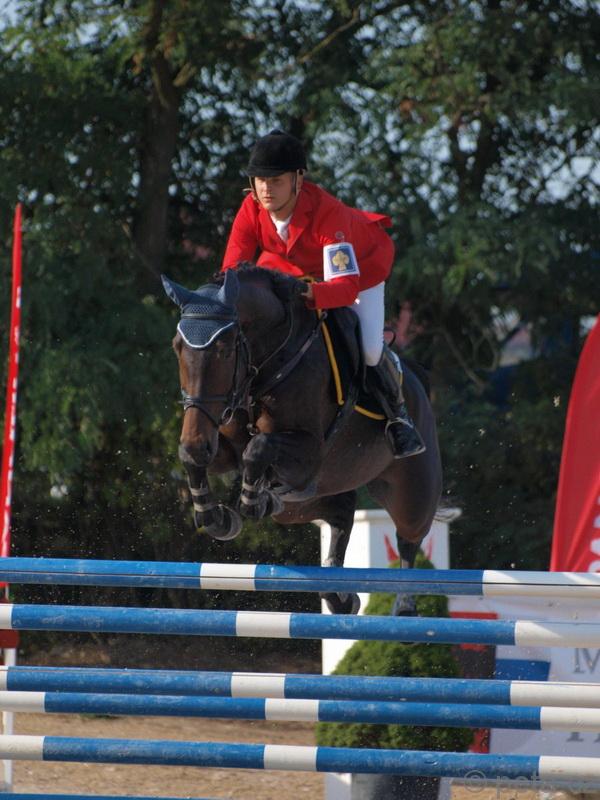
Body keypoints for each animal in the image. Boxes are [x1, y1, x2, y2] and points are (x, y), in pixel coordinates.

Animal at [163, 265, 442, 614]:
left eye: (225, 350)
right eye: (177, 347)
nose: (198, 441)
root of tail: (417, 378)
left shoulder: (309, 453)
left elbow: (257, 449)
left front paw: (252, 500)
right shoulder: (222, 444)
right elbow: (194, 458)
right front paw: (216, 517)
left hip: (411, 490)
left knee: (409, 538)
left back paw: (403, 606)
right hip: (309, 497)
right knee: (340, 510)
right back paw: (340, 597)